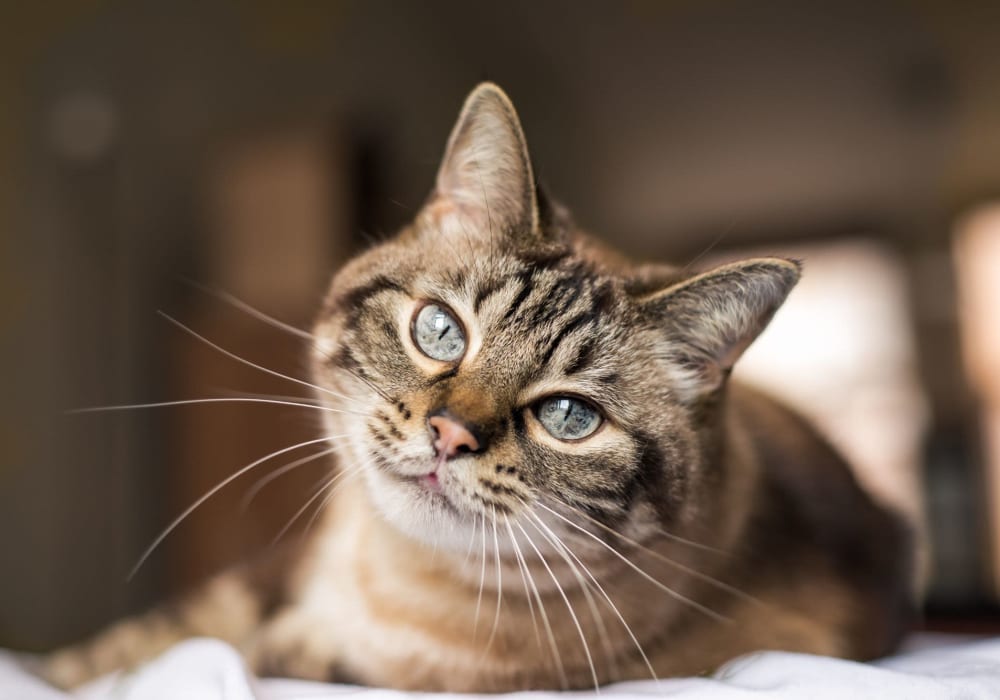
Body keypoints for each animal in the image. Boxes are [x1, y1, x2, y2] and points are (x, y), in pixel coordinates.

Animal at [43, 82, 916, 688]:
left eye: (568, 416)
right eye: (440, 332)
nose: (450, 435)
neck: (386, 578)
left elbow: (278, 656)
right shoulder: (272, 572)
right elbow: (141, 642)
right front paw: (65, 671)